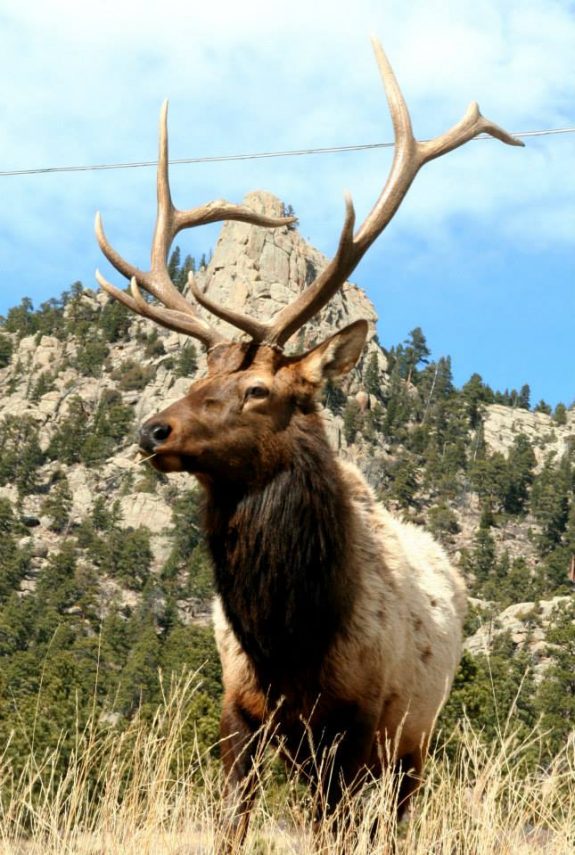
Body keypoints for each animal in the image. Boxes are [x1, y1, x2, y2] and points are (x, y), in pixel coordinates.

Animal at [95, 39, 522, 847]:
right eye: (197, 374)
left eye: (260, 391)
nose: (151, 430)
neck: (290, 643)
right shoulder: (241, 715)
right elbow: (229, 826)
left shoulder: (358, 726)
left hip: (412, 744)